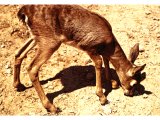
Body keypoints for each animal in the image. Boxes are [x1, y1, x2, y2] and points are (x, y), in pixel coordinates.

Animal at [14, 4, 146, 113]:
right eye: (134, 83)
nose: (130, 93)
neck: (109, 44)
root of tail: (24, 11)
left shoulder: (101, 51)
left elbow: (106, 60)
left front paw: (113, 82)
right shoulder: (90, 48)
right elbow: (99, 63)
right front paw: (102, 97)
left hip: (36, 38)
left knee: (19, 53)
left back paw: (18, 86)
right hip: (49, 42)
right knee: (32, 68)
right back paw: (52, 107)